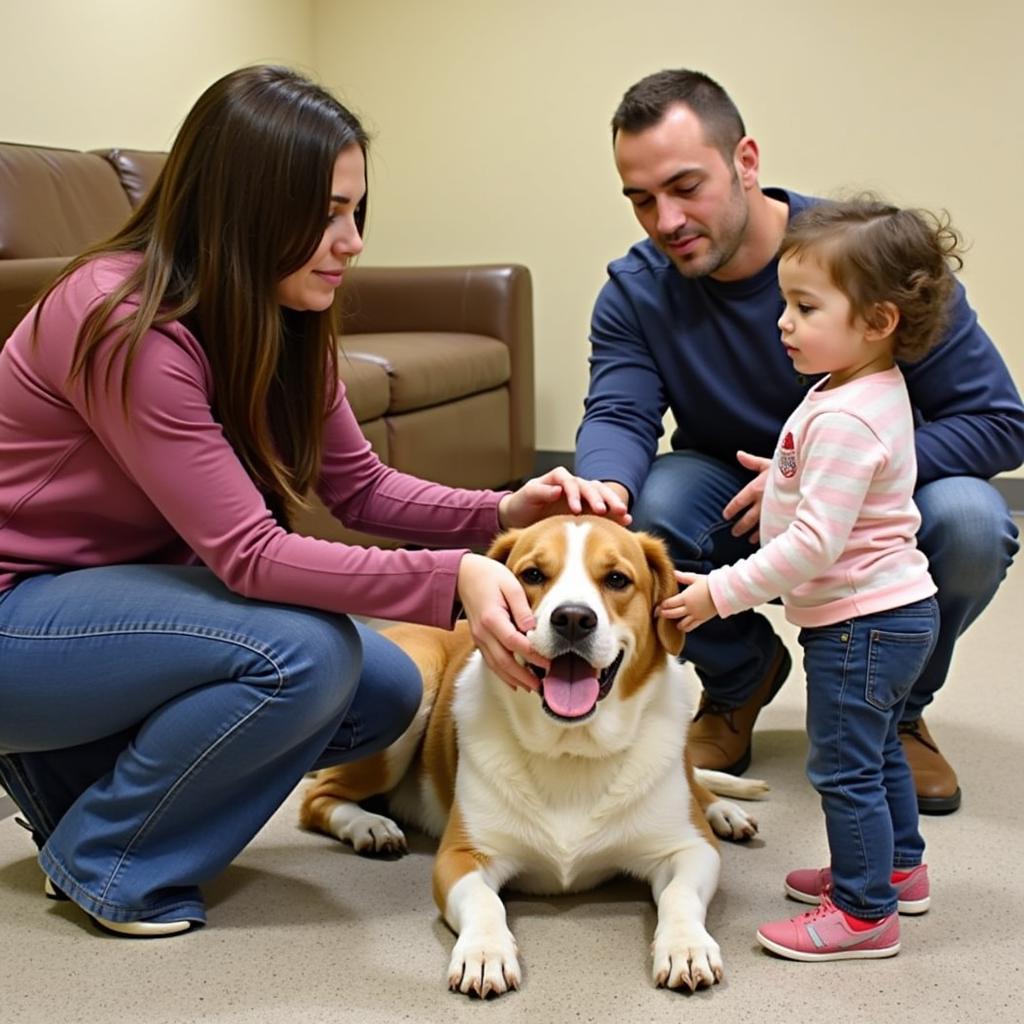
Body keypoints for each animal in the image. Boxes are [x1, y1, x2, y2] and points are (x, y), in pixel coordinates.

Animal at [299, 516, 765, 995]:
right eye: (533, 575)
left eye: (617, 579)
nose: (573, 619)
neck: (572, 750)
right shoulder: (462, 855)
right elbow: (485, 902)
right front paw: (484, 951)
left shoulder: (689, 849)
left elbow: (679, 894)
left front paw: (686, 945)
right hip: (419, 678)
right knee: (317, 798)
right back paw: (367, 825)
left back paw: (723, 810)